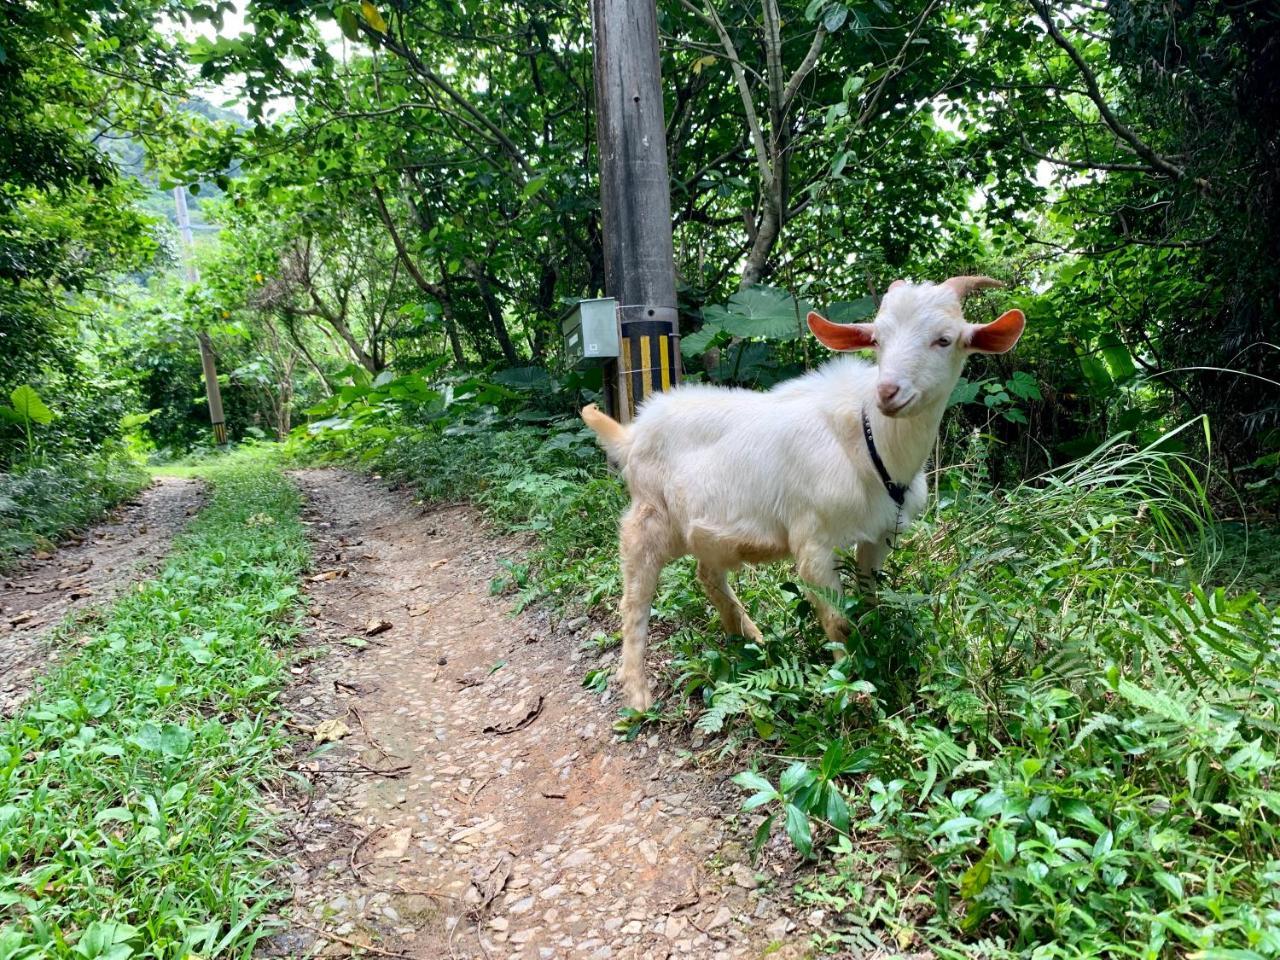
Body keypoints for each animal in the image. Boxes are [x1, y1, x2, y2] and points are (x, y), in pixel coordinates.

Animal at [586, 273, 1024, 711]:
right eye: (877, 339)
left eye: (944, 339)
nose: (887, 392)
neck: (869, 444)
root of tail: (632, 432)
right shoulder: (812, 540)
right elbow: (839, 621)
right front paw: (851, 689)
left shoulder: (880, 534)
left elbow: (870, 600)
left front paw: (878, 655)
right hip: (649, 516)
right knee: (635, 597)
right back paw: (638, 692)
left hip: (706, 531)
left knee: (708, 575)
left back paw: (749, 639)